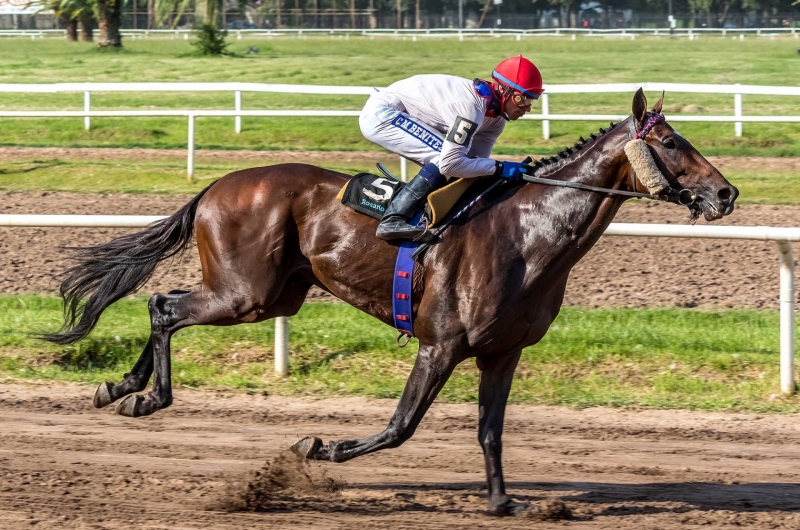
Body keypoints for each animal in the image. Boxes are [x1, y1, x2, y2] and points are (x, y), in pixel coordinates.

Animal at [45, 88, 736, 512]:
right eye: (671, 143)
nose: (726, 194)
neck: (529, 232)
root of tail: (217, 184)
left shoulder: (502, 352)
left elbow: (490, 431)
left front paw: (504, 501)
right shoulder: (441, 344)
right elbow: (401, 426)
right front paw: (319, 448)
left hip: (273, 297)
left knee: (163, 305)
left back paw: (122, 388)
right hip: (246, 294)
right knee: (163, 307)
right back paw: (145, 396)